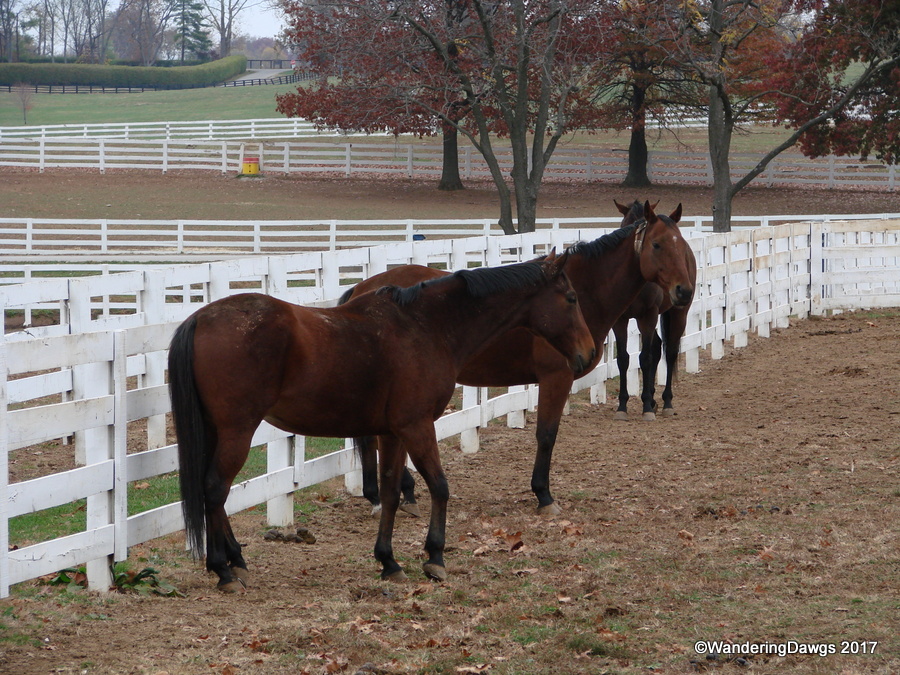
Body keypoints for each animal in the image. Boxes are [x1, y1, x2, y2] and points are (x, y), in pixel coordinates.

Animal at [167, 251, 595, 591]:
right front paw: (434, 557)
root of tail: (200, 319)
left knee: (212, 491)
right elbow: (440, 486)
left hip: (218, 432)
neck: (427, 326)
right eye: (571, 297)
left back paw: (233, 560)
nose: (588, 354)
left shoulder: (393, 434)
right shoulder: (417, 426)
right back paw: (223, 569)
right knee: (214, 489)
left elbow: (391, 491)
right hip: (237, 431)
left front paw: (388, 560)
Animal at [611, 200, 698, 420]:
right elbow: (624, 358)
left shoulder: (648, 316)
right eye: (624, 223)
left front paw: (647, 407)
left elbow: (645, 358)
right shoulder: (620, 320)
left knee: (670, 352)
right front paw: (622, 405)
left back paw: (666, 401)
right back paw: (651, 397)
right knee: (658, 347)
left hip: (678, 313)